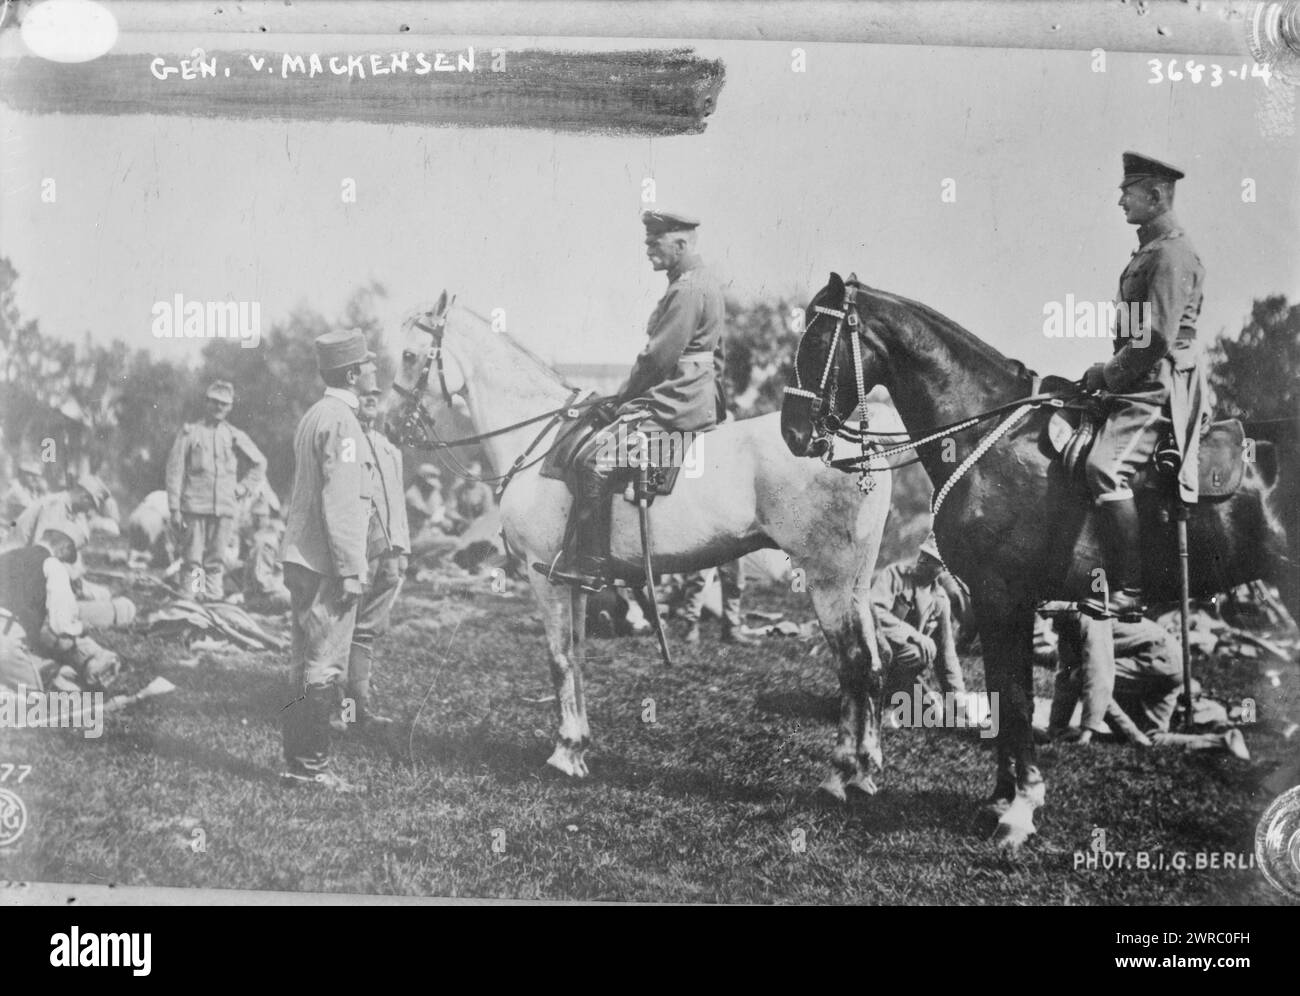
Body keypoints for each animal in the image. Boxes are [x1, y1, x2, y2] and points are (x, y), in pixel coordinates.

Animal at [384, 292, 894, 800]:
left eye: (408, 355)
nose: (388, 425)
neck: (538, 440)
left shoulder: (542, 575)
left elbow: (558, 658)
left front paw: (563, 753)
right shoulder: (573, 580)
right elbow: (577, 655)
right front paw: (579, 747)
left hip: (827, 581)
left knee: (853, 665)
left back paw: (839, 773)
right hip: (855, 585)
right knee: (873, 663)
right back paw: (865, 770)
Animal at [780, 270, 1289, 852]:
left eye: (817, 339)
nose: (792, 432)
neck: (985, 437)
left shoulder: (1005, 597)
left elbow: (1019, 700)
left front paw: (1019, 810)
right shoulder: (992, 599)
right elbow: (1005, 695)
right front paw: (1004, 796)